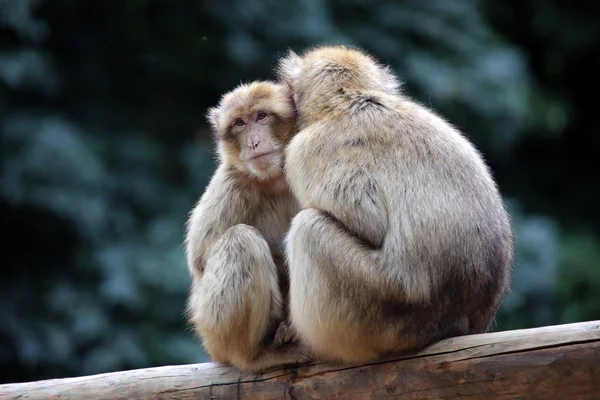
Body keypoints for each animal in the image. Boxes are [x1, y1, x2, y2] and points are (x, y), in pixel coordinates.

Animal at [185, 80, 310, 372]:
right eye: (240, 123)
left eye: (261, 116)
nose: (253, 142)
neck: (275, 179)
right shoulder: (231, 182)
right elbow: (200, 261)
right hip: (212, 332)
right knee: (240, 240)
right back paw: (254, 356)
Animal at [278, 45, 516, 364]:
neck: (349, 100)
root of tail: (455, 323)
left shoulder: (302, 151)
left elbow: (369, 221)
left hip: (380, 309)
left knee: (309, 229)